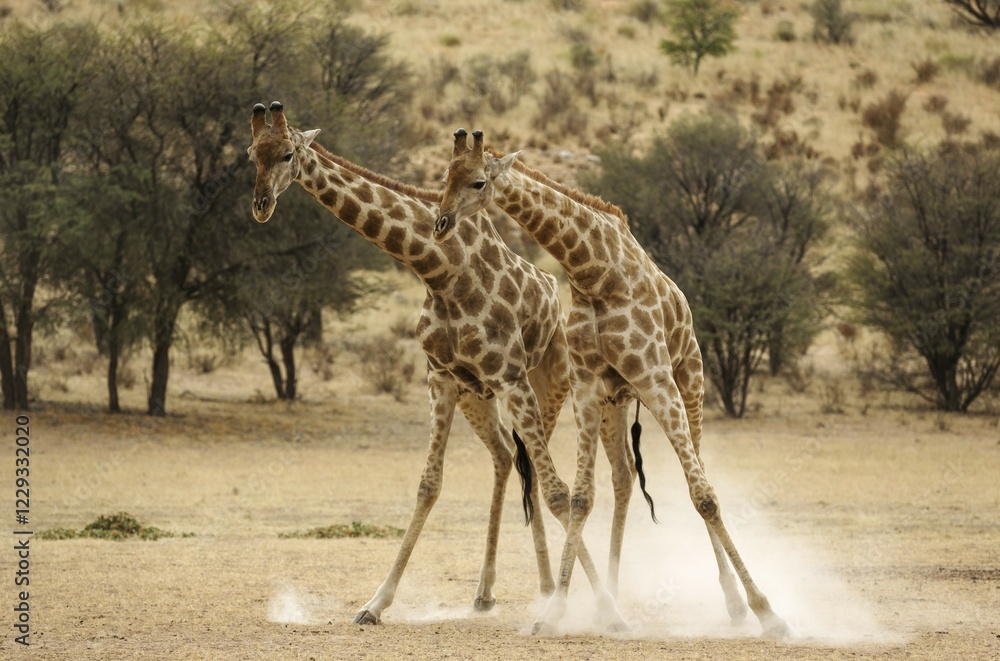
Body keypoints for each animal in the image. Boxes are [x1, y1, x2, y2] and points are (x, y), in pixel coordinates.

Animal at [247, 102, 618, 626]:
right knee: (506, 456)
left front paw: (604, 604)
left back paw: (549, 590)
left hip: (545, 383)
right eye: (250, 154)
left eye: (285, 154)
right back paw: (490, 593)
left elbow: (557, 490)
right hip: (476, 395)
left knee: (539, 474)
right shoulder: (440, 378)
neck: (439, 271)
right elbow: (428, 485)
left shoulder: (509, 377)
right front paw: (374, 603)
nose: (261, 205)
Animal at [435, 129, 790, 638]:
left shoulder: (656, 378)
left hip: (690, 381)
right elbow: (582, 498)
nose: (441, 223)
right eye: (445, 176)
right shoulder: (586, 388)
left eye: (479, 181)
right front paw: (554, 611)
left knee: (700, 474)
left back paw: (736, 605)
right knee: (623, 476)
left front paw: (766, 611)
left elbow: (703, 496)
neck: (592, 270)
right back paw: (617, 599)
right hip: (617, 400)